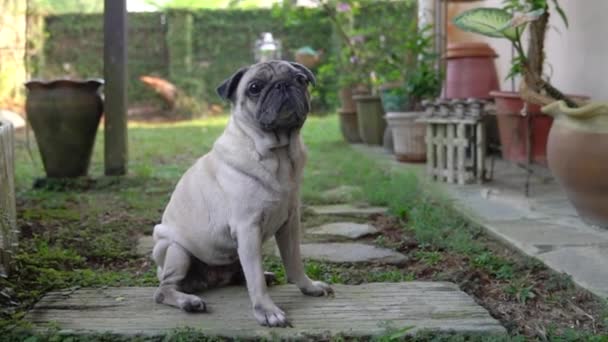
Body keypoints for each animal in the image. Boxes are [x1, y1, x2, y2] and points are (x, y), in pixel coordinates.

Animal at [152, 60, 332, 328]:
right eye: (254, 87)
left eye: (300, 79)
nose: (283, 84)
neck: (279, 154)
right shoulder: (248, 228)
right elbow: (254, 278)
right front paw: (267, 311)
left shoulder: (290, 224)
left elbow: (294, 263)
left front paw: (308, 287)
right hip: (176, 250)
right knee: (164, 289)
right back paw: (189, 301)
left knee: (240, 275)